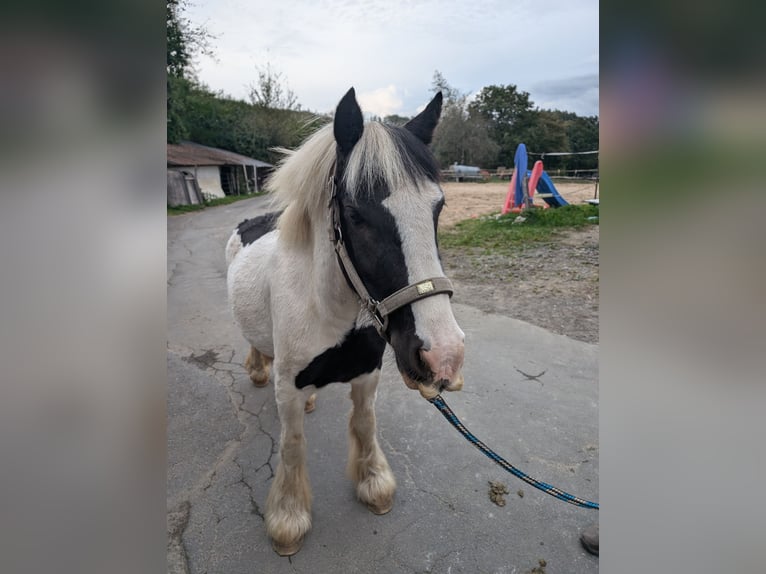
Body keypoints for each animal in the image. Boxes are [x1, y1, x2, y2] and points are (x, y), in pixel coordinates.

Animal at [226, 86, 468, 560]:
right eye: (355, 214)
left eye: (439, 207)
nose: (444, 356)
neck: (327, 311)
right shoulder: (288, 388)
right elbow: (292, 445)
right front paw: (288, 519)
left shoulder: (366, 375)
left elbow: (364, 425)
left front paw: (374, 486)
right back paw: (259, 370)